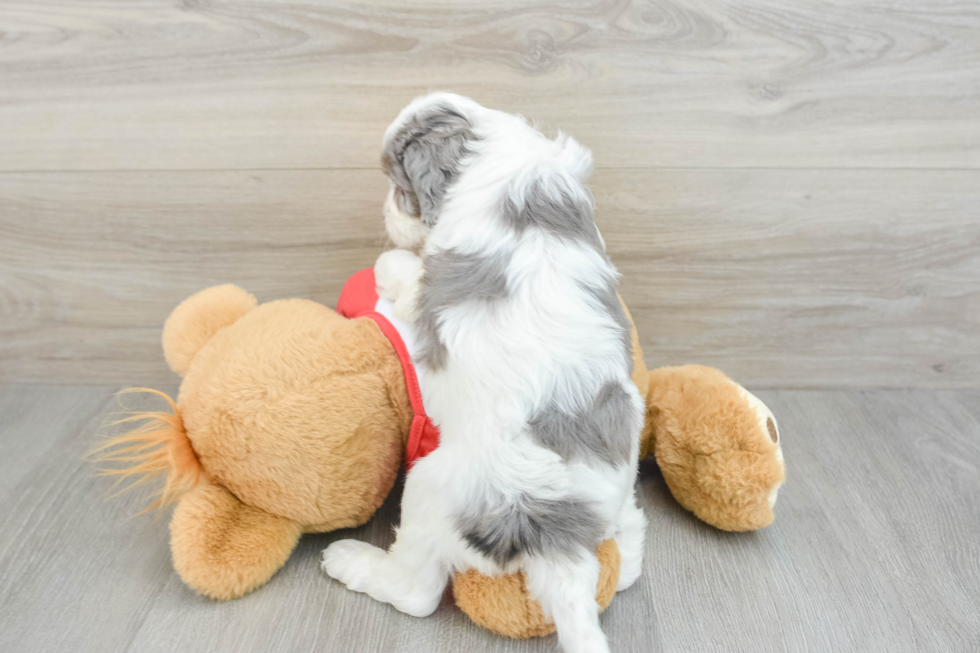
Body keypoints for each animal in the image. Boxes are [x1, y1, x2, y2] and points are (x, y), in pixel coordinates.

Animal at [322, 93, 648, 652]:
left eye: (399, 186)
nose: (386, 211)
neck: (506, 157)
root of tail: (559, 544)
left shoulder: (429, 287)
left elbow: (407, 276)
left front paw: (389, 263)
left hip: (431, 488)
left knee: (416, 592)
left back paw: (351, 562)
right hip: (621, 488)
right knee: (629, 544)